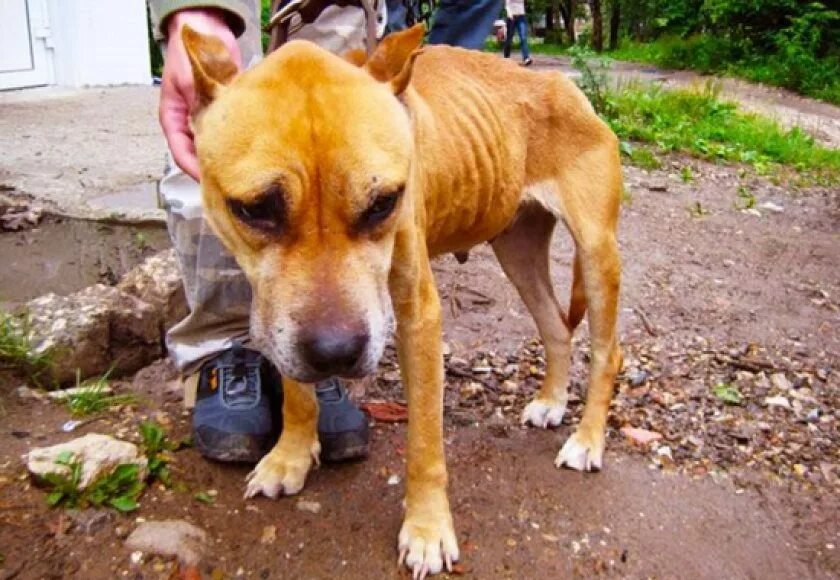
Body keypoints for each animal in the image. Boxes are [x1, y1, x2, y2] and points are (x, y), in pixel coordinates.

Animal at [180, 24, 620, 580]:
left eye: (383, 203)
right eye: (255, 209)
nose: (335, 353)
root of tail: (563, 86)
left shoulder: (417, 317)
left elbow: (425, 441)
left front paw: (428, 529)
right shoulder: (274, 308)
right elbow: (296, 390)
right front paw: (291, 455)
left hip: (597, 252)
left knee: (608, 351)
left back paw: (587, 439)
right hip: (516, 249)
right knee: (557, 328)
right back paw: (553, 401)